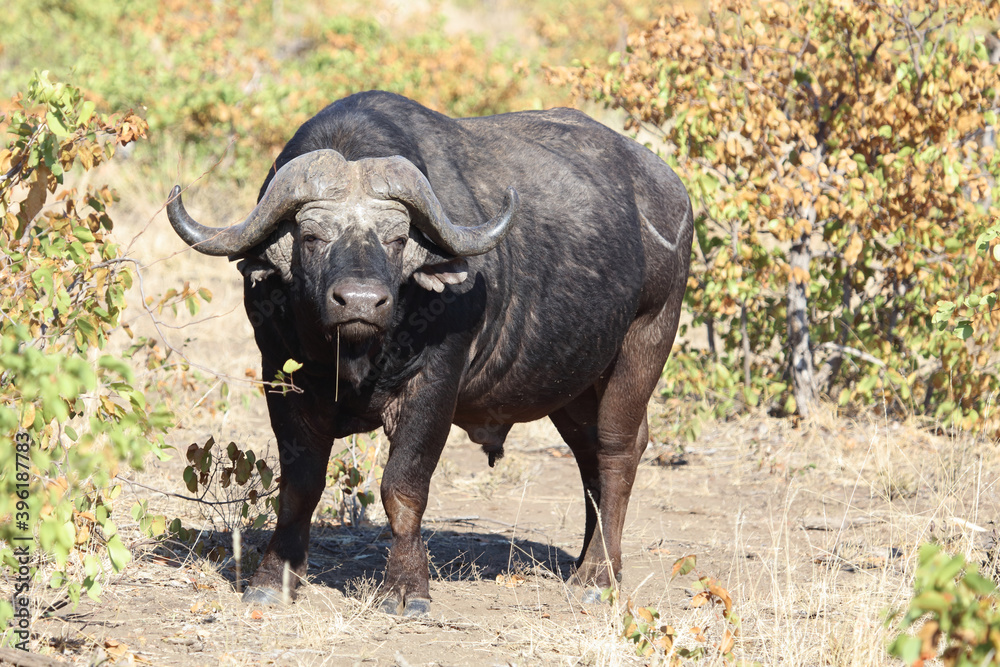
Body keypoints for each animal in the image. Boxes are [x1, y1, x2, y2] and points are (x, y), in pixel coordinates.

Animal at [166, 91, 696, 620]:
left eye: (398, 239)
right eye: (311, 236)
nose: (361, 302)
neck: (359, 354)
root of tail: (674, 193)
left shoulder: (435, 385)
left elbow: (402, 488)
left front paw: (406, 587)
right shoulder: (281, 377)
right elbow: (299, 486)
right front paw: (273, 579)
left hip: (647, 337)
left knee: (617, 450)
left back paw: (599, 576)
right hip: (572, 381)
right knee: (589, 458)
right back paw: (587, 563)